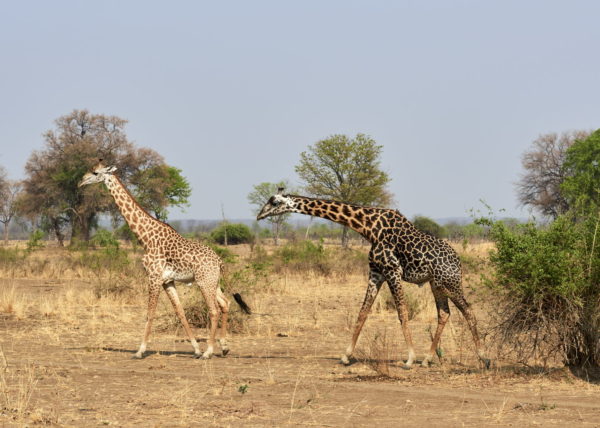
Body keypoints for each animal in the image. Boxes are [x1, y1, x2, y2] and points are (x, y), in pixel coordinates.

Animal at [78, 162, 250, 360]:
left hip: (204, 282)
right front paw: (195, 349)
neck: (145, 238)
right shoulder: (167, 280)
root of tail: (220, 261)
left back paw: (208, 352)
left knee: (213, 310)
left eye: (95, 172)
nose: (80, 182)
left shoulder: (153, 277)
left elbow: (150, 313)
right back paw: (224, 347)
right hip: (214, 282)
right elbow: (180, 312)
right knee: (225, 303)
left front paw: (140, 351)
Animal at [255, 189, 490, 370]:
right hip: (436, 284)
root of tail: (458, 262)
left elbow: (402, 312)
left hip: (449, 283)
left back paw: (484, 358)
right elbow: (363, 312)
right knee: (444, 313)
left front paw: (409, 359)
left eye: (273, 202)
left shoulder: (392, 270)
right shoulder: (376, 272)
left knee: (468, 310)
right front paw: (345, 356)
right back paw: (428, 360)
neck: (367, 227)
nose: (259, 215)